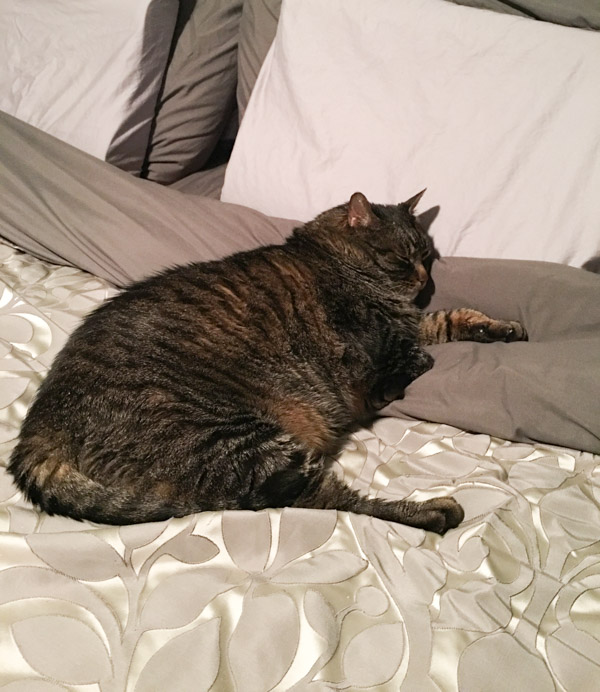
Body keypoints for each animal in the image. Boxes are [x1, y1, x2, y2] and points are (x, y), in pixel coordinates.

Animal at [8, 192, 524, 532]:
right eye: (402, 260)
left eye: (428, 257)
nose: (422, 281)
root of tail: (35, 435)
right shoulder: (383, 342)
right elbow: (419, 355)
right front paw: (396, 381)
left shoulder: (409, 324)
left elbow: (449, 320)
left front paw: (503, 328)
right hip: (235, 439)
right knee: (318, 501)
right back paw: (434, 512)